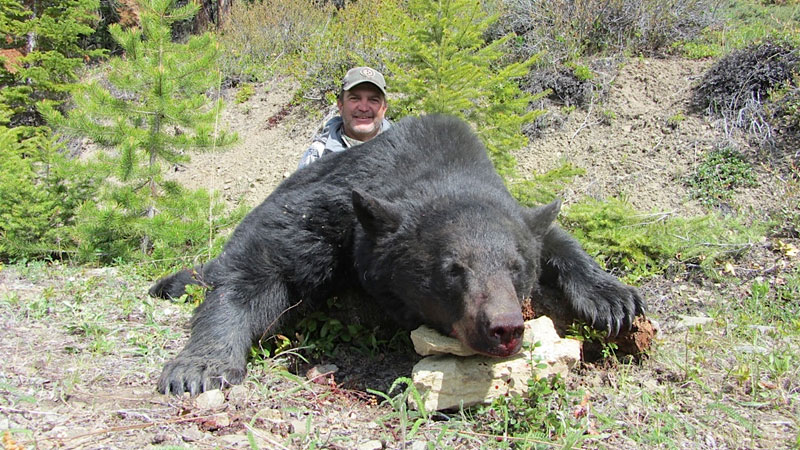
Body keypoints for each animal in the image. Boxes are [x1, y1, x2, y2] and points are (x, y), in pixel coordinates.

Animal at [150, 114, 645, 395]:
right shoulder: (329, 212)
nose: (504, 328)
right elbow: (258, 270)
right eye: (452, 270)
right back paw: (169, 283)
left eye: (517, 268)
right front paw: (200, 366)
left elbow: (558, 237)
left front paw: (612, 298)